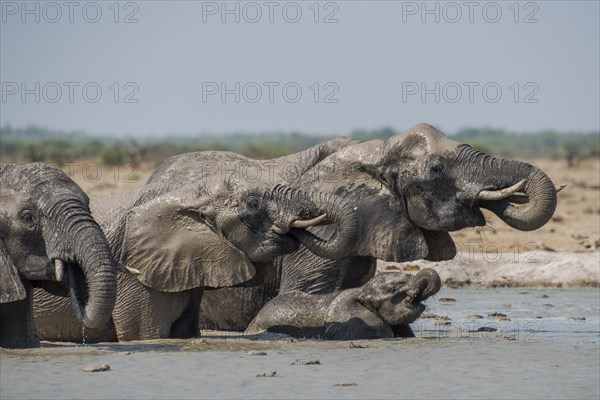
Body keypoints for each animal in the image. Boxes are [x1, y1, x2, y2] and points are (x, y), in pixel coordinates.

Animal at [32, 180, 358, 342]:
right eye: (253, 204)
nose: (292, 226)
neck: (188, 197)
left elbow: (185, 333)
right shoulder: (135, 275)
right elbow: (147, 335)